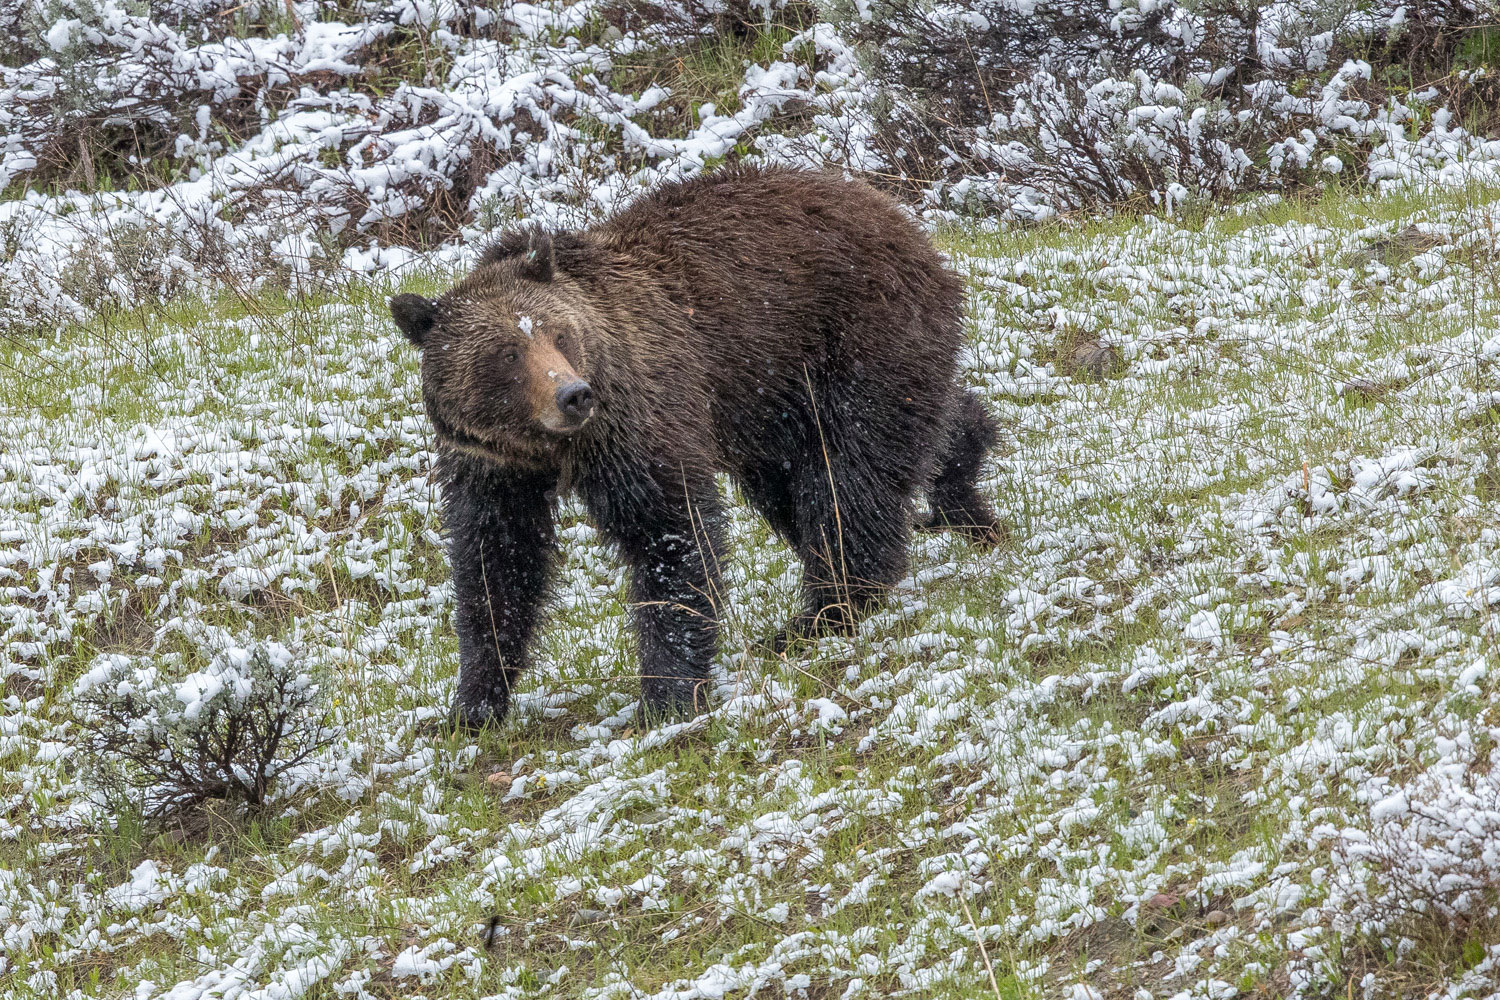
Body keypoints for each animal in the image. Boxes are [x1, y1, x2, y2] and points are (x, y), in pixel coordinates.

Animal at [390, 164, 996, 728]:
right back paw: (962, 482)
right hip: (770, 395)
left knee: (851, 472)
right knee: (820, 472)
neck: (553, 450)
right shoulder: (492, 465)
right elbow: (496, 562)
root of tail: (899, 216)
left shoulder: (635, 417)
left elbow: (669, 531)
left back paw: (826, 610)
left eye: (558, 333)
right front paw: (473, 702)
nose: (573, 395)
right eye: (506, 353)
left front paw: (668, 694)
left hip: (852, 335)